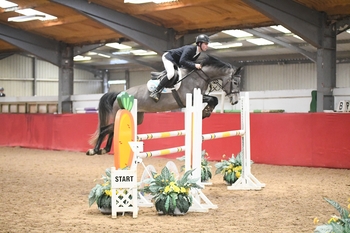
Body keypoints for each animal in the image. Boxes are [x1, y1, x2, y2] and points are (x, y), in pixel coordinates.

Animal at [86, 55, 242, 156]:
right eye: (235, 82)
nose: (235, 101)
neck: (198, 76)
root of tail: (120, 93)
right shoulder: (190, 98)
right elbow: (213, 99)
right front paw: (206, 112)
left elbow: (213, 100)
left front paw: (206, 112)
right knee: (105, 129)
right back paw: (94, 150)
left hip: (137, 117)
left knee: (112, 130)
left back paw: (104, 149)